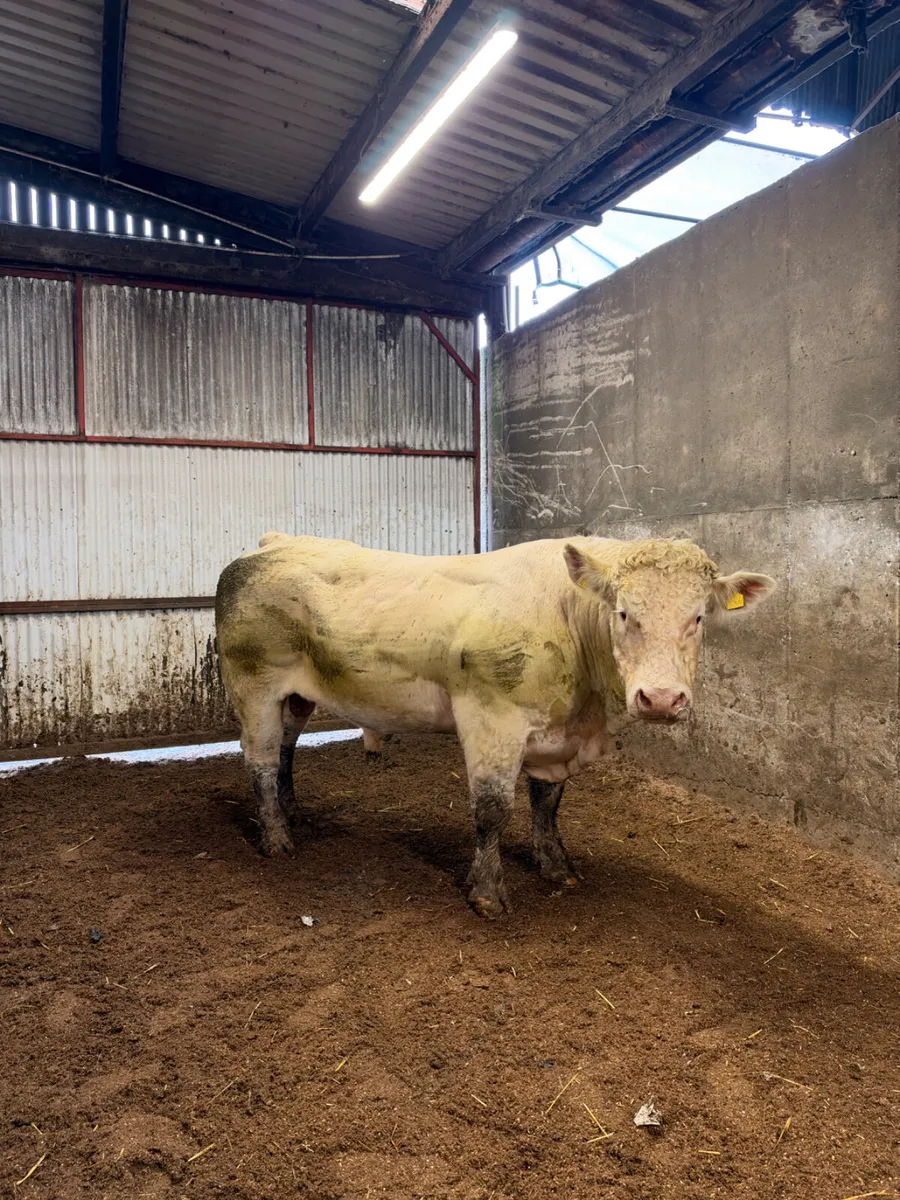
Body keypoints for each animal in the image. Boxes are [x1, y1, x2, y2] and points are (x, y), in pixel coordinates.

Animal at [215, 533, 775, 917]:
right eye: (622, 613)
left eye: (698, 617)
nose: (660, 699)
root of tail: (276, 542)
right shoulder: (491, 718)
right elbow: (492, 809)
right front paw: (486, 892)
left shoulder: (555, 736)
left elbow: (547, 805)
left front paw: (556, 867)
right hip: (253, 683)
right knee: (259, 758)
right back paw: (276, 837)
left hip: (296, 694)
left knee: (286, 748)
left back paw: (292, 810)